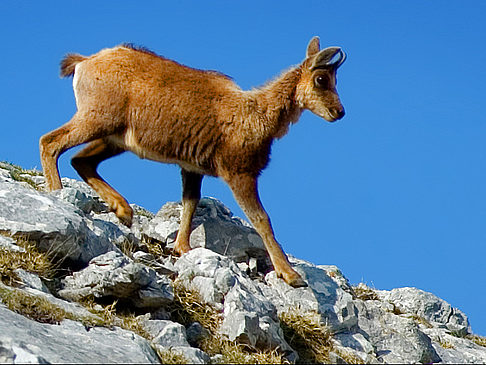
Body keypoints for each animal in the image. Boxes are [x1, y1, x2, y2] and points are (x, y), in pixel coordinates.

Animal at [39, 37, 348, 288]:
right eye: (322, 79)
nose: (339, 112)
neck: (257, 116)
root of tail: (84, 62)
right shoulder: (239, 172)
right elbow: (262, 219)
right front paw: (290, 274)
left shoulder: (192, 168)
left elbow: (190, 203)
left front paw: (183, 248)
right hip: (97, 119)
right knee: (50, 142)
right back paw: (57, 193)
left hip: (115, 138)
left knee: (81, 160)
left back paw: (123, 209)